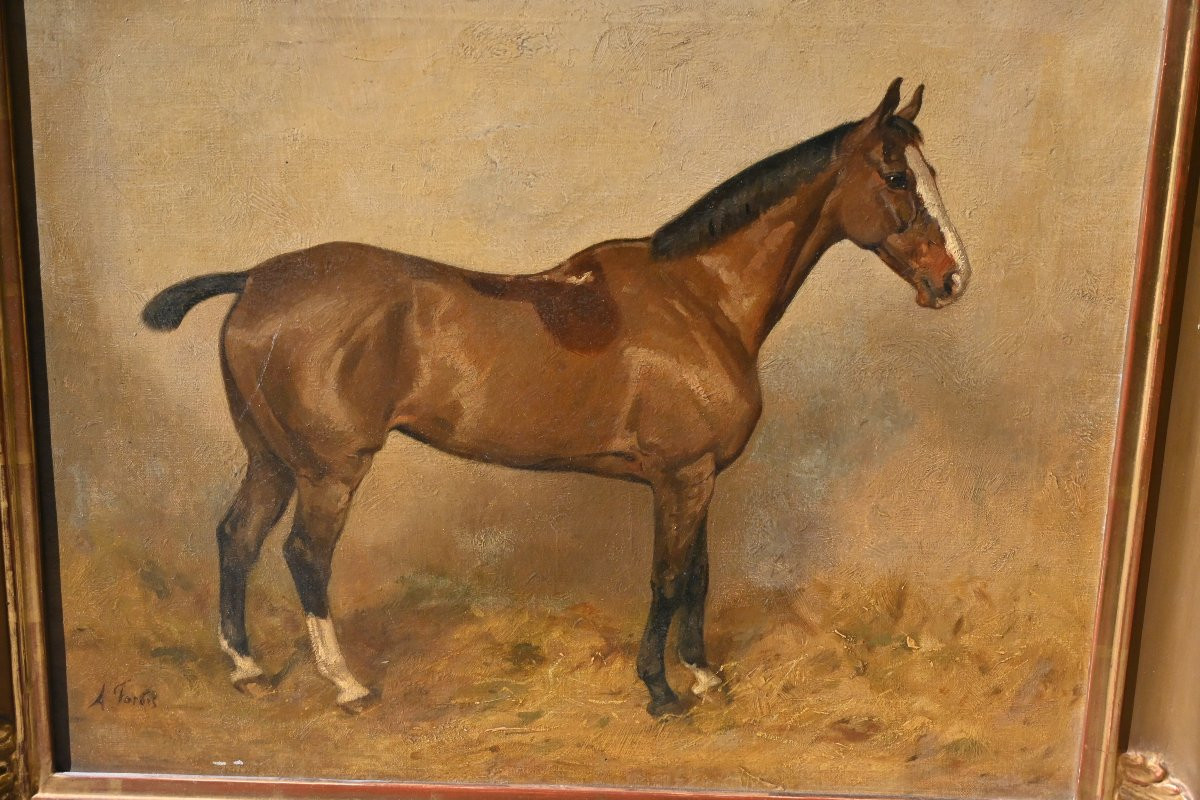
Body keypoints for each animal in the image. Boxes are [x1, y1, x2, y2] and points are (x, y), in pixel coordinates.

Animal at [142, 78, 969, 717]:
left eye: (932, 171)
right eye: (897, 177)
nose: (953, 278)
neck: (697, 298)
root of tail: (255, 279)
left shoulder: (698, 477)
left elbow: (699, 576)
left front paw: (705, 677)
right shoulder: (680, 476)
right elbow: (669, 578)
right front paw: (661, 693)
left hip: (270, 458)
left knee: (238, 538)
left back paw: (248, 671)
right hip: (328, 470)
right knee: (305, 555)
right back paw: (347, 684)